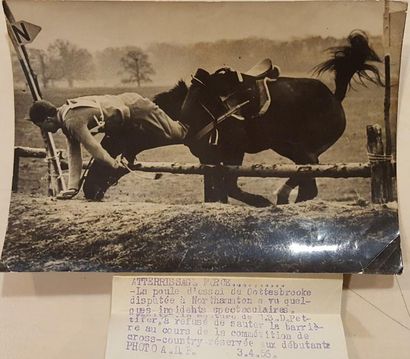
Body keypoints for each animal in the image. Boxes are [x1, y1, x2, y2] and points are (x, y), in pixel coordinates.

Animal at [81, 31, 382, 205]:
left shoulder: (232, 154)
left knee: (308, 175)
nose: (88, 188)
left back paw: (281, 195)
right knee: (309, 185)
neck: (190, 111)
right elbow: (219, 192)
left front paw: (261, 201)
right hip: (292, 149)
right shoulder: (209, 160)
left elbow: (231, 186)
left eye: (110, 141)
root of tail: (335, 96)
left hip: (297, 148)